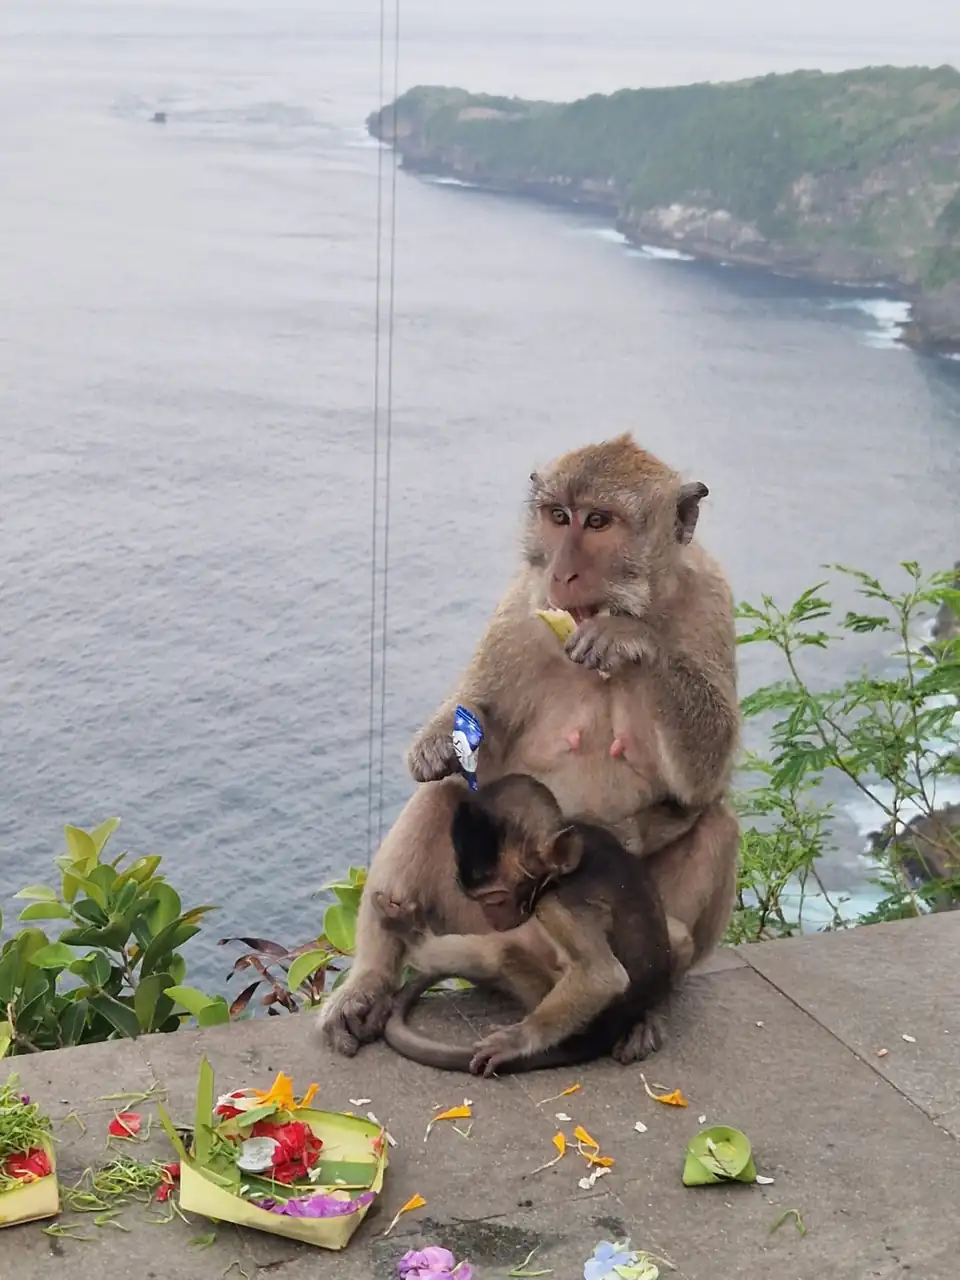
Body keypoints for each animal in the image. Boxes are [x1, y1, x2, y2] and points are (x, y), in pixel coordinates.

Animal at [375, 774, 674, 1075]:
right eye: (477, 900)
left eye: (494, 900)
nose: (491, 918)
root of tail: (599, 1037)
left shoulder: (556, 900)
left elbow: (602, 975)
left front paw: (516, 1040)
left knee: (502, 951)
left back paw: (417, 940)